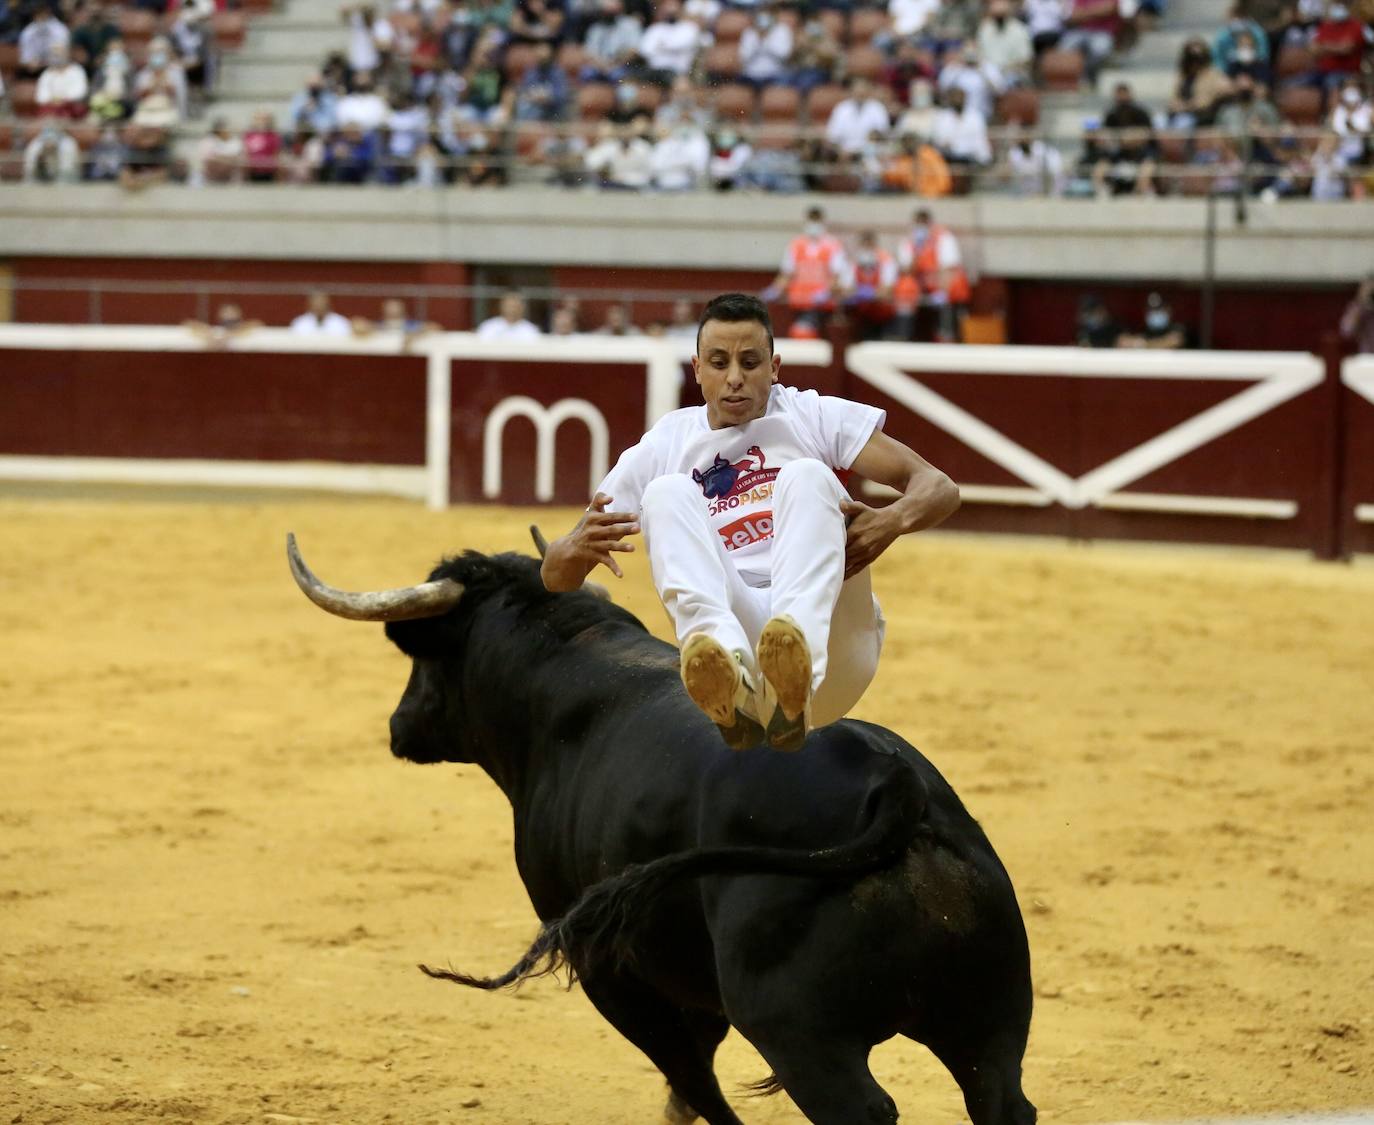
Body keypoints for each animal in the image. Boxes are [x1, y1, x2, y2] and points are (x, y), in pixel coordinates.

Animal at [292, 541, 1038, 1120]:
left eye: (427, 658)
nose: (399, 724)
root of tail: (895, 787)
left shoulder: (605, 963)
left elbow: (691, 1076)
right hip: (992, 1021)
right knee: (1003, 1099)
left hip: (803, 1039)